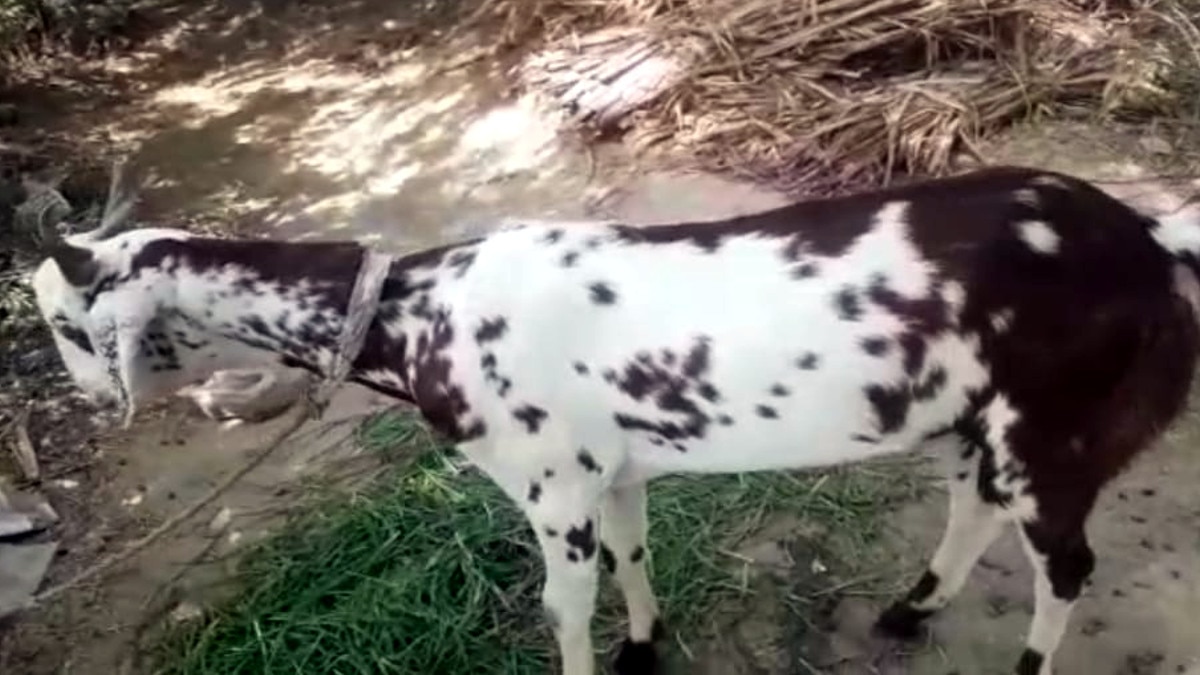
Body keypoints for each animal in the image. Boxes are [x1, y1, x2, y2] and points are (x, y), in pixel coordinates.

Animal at [30, 166, 1200, 675]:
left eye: (66, 323)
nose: (86, 401)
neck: (419, 314)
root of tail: (1149, 238)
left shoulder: (550, 487)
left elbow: (562, 607)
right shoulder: (614, 471)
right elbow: (636, 558)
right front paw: (646, 644)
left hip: (1058, 429)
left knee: (1065, 566)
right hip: (979, 421)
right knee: (973, 508)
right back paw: (910, 613)